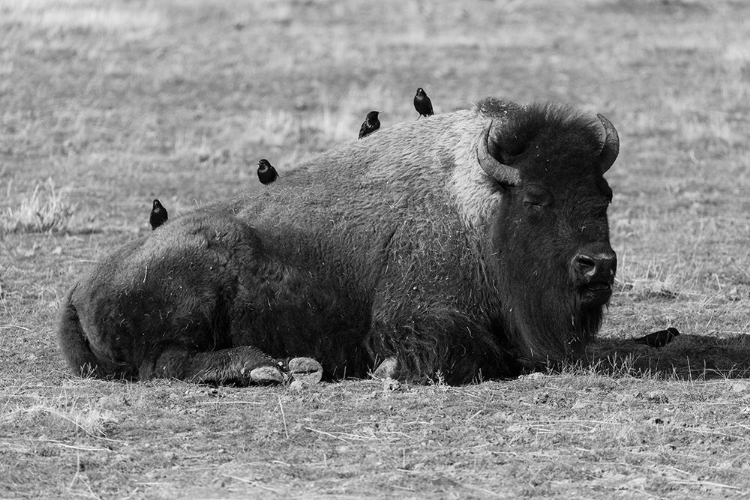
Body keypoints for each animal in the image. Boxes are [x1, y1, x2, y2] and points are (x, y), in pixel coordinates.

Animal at [57, 98, 624, 386]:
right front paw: (390, 370)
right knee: (167, 364)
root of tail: (78, 292)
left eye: (604, 194)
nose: (597, 265)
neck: (480, 205)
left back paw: (290, 366)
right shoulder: (417, 314)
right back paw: (267, 368)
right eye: (535, 198)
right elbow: (461, 353)